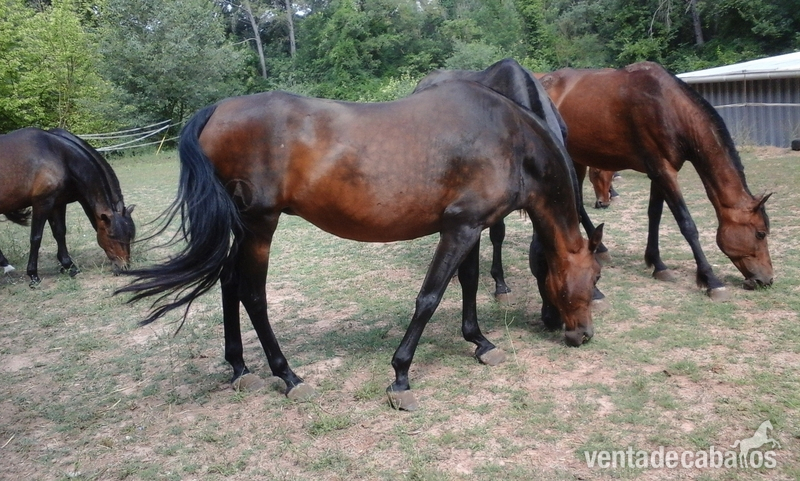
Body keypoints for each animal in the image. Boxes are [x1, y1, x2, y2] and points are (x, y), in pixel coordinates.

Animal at [0, 127, 136, 286]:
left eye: (129, 236)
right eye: (111, 235)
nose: (124, 267)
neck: (56, 154)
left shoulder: (57, 203)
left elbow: (60, 233)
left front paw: (68, 266)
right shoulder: (42, 203)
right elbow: (36, 238)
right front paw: (33, 275)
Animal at [539, 62, 773, 298]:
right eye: (760, 233)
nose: (767, 280)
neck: (669, 107)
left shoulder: (658, 173)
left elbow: (655, 215)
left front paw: (657, 264)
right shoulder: (664, 172)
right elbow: (687, 224)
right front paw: (711, 280)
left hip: (577, 158)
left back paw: (601, 249)